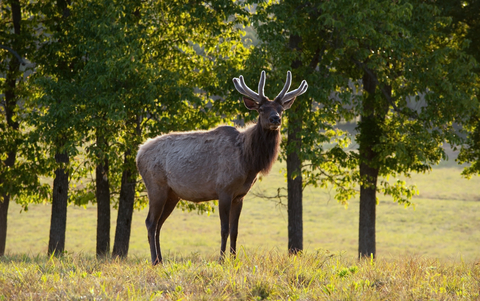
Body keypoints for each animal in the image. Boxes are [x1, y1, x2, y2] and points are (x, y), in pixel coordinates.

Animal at [135, 70, 308, 262]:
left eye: (281, 109)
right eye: (261, 109)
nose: (275, 119)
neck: (248, 162)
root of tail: (139, 153)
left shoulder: (239, 196)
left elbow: (235, 230)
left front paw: (233, 258)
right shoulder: (224, 189)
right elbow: (224, 229)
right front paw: (221, 259)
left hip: (173, 194)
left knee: (159, 224)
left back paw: (160, 260)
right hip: (156, 186)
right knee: (150, 222)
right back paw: (154, 260)